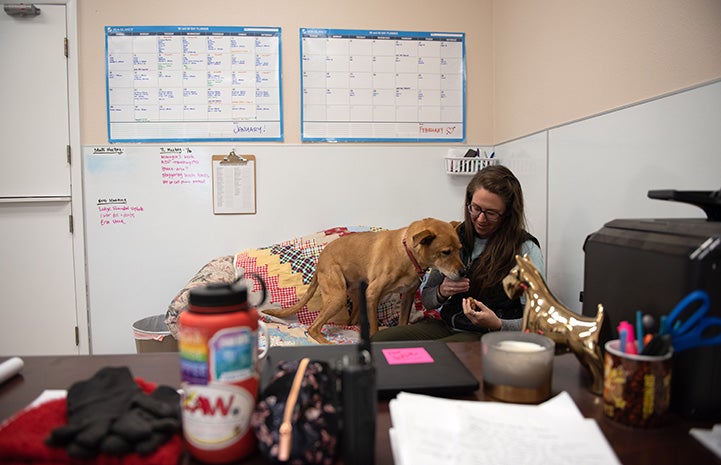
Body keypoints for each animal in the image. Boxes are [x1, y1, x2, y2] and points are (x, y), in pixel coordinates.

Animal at [262, 217, 462, 340]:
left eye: (460, 248)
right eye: (446, 252)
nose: (464, 271)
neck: (407, 252)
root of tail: (320, 261)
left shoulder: (408, 295)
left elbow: (402, 323)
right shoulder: (373, 294)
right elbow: (373, 328)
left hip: (357, 294)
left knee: (351, 322)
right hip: (339, 296)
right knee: (313, 328)